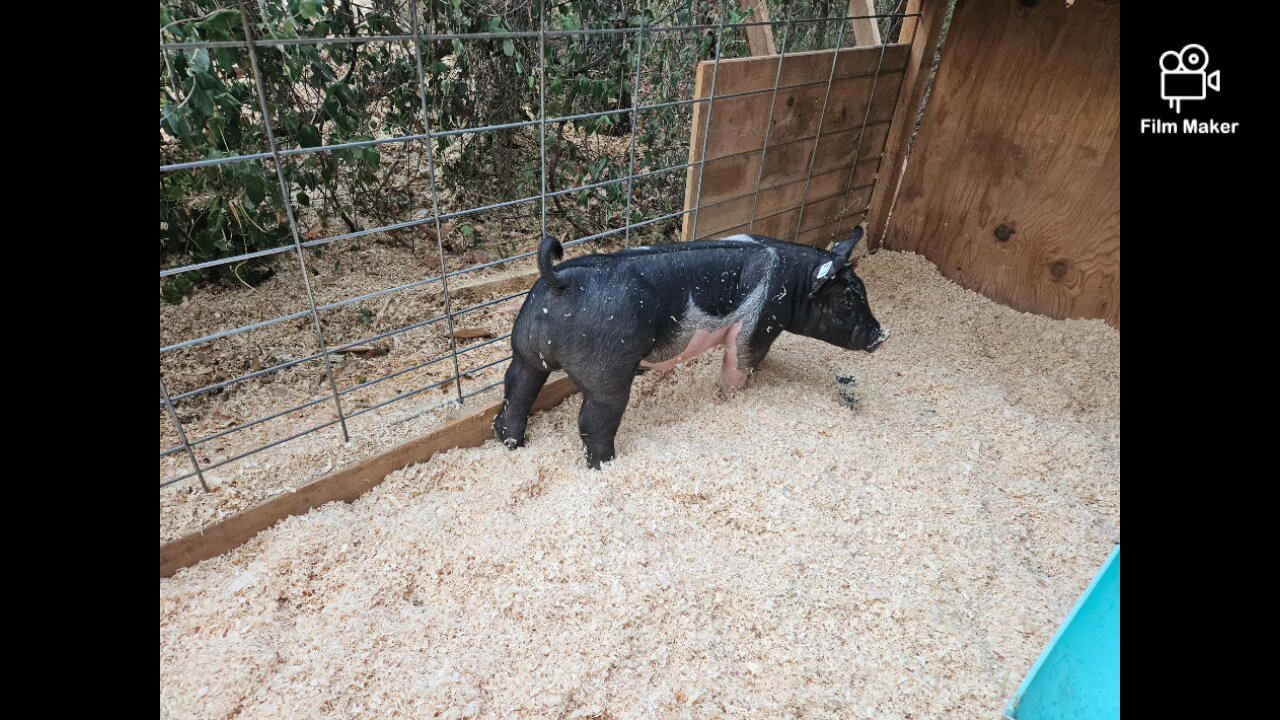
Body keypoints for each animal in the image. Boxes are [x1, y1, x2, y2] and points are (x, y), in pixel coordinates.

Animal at [493, 227, 887, 468]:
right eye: (846, 303)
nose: (882, 336)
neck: (795, 283)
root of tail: (559, 280)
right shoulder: (756, 327)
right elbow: (740, 364)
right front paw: (733, 397)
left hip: (523, 350)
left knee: (516, 395)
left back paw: (512, 444)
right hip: (607, 372)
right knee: (593, 421)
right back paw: (607, 464)